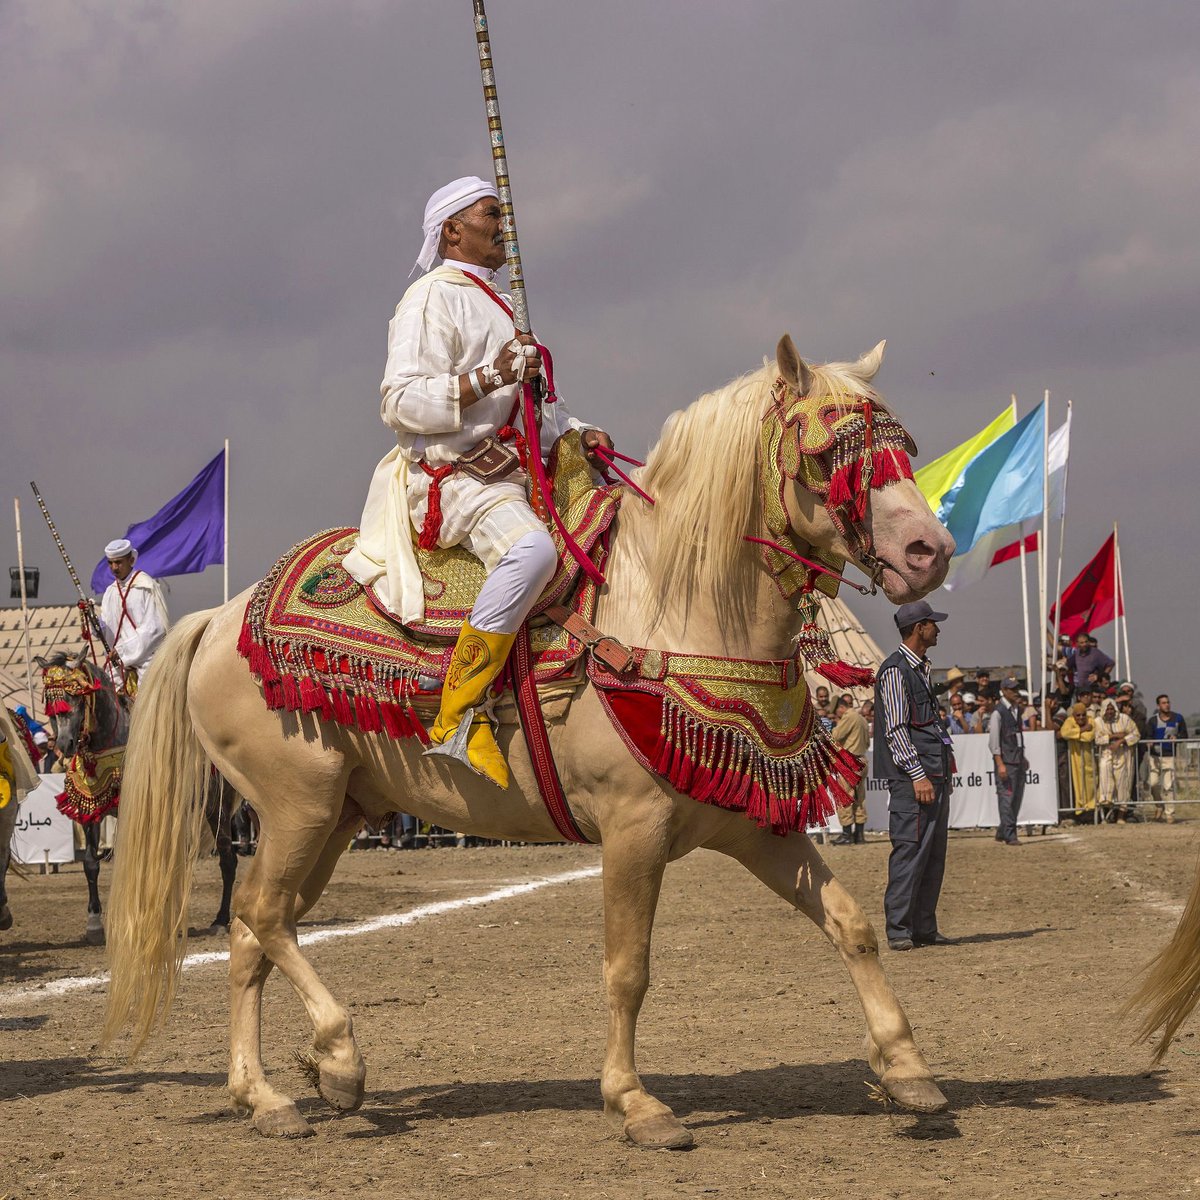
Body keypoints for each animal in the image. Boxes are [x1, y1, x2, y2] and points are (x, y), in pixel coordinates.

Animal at [34, 652, 238, 940]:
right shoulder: (92, 810)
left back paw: (220, 920)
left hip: (217, 806)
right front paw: (94, 922)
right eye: (50, 703)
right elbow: (91, 863)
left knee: (228, 859)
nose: (64, 745)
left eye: (76, 697)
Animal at [103, 336, 955, 1142]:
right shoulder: (634, 829)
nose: (930, 551)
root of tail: (220, 619)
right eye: (828, 453)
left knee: (254, 933)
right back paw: (339, 1059)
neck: (668, 611)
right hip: (296, 806)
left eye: (903, 444)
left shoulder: (754, 826)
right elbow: (627, 969)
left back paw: (266, 1095)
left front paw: (907, 1068)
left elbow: (850, 924)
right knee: (263, 914)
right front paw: (635, 1102)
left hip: (334, 818)